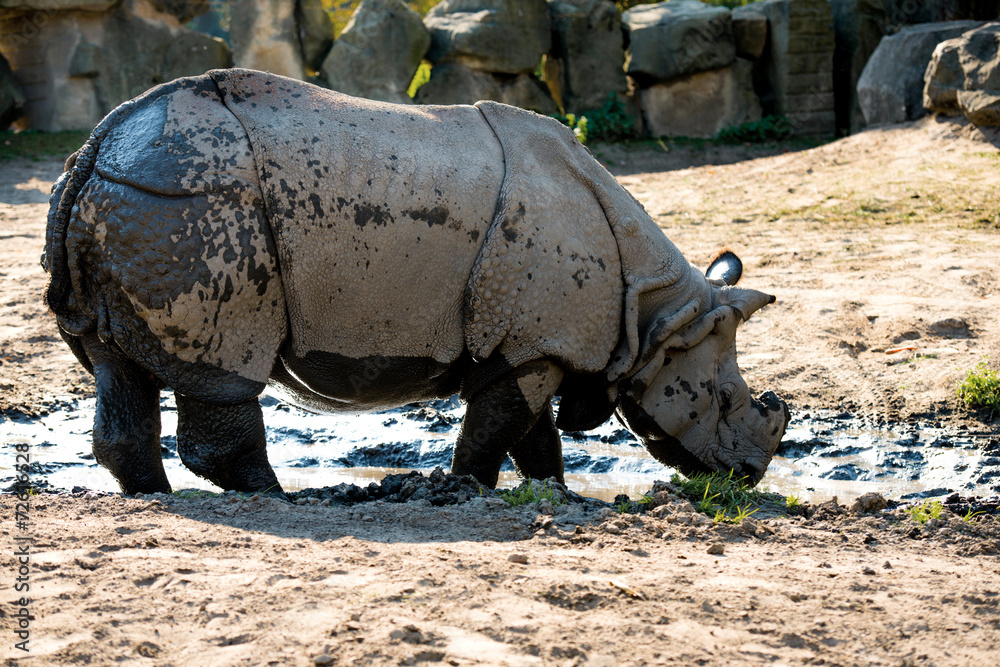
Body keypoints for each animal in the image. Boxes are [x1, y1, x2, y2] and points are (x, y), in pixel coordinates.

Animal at [43, 68, 789, 496]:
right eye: (725, 398)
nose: (748, 476)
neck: (656, 313)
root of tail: (95, 149)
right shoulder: (534, 344)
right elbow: (499, 427)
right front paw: (466, 489)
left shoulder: (532, 343)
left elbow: (533, 433)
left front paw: (555, 493)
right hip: (193, 205)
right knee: (225, 371)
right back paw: (273, 496)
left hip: (139, 202)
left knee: (115, 368)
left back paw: (153, 496)